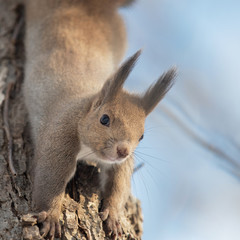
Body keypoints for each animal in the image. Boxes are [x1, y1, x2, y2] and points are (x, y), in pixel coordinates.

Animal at [23, 0, 176, 239]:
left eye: (142, 136)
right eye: (104, 119)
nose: (123, 150)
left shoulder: (119, 164)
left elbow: (118, 183)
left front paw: (113, 214)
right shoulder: (60, 137)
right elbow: (50, 179)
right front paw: (50, 216)